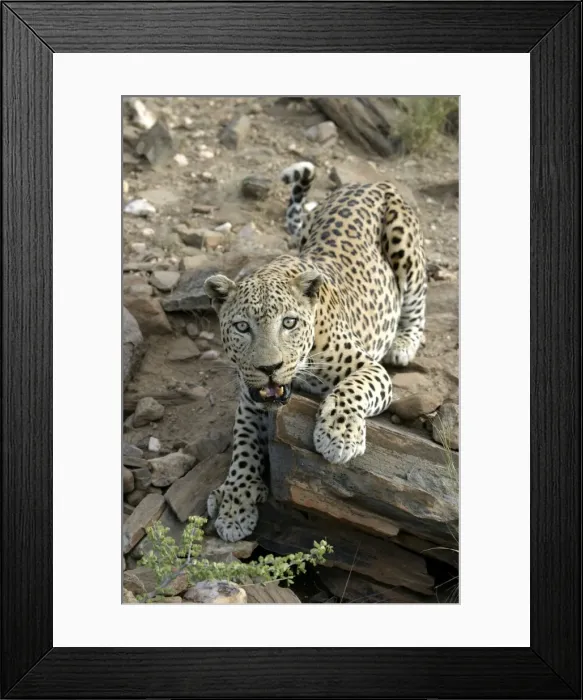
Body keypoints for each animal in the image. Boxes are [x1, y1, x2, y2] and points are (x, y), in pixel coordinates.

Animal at [204, 161, 427, 542]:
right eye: (242, 327)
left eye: (289, 323)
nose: (270, 368)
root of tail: (370, 182)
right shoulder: (250, 398)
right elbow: (243, 446)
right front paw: (235, 504)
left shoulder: (369, 369)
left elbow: (351, 389)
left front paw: (339, 436)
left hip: (405, 249)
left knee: (417, 300)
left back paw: (403, 344)